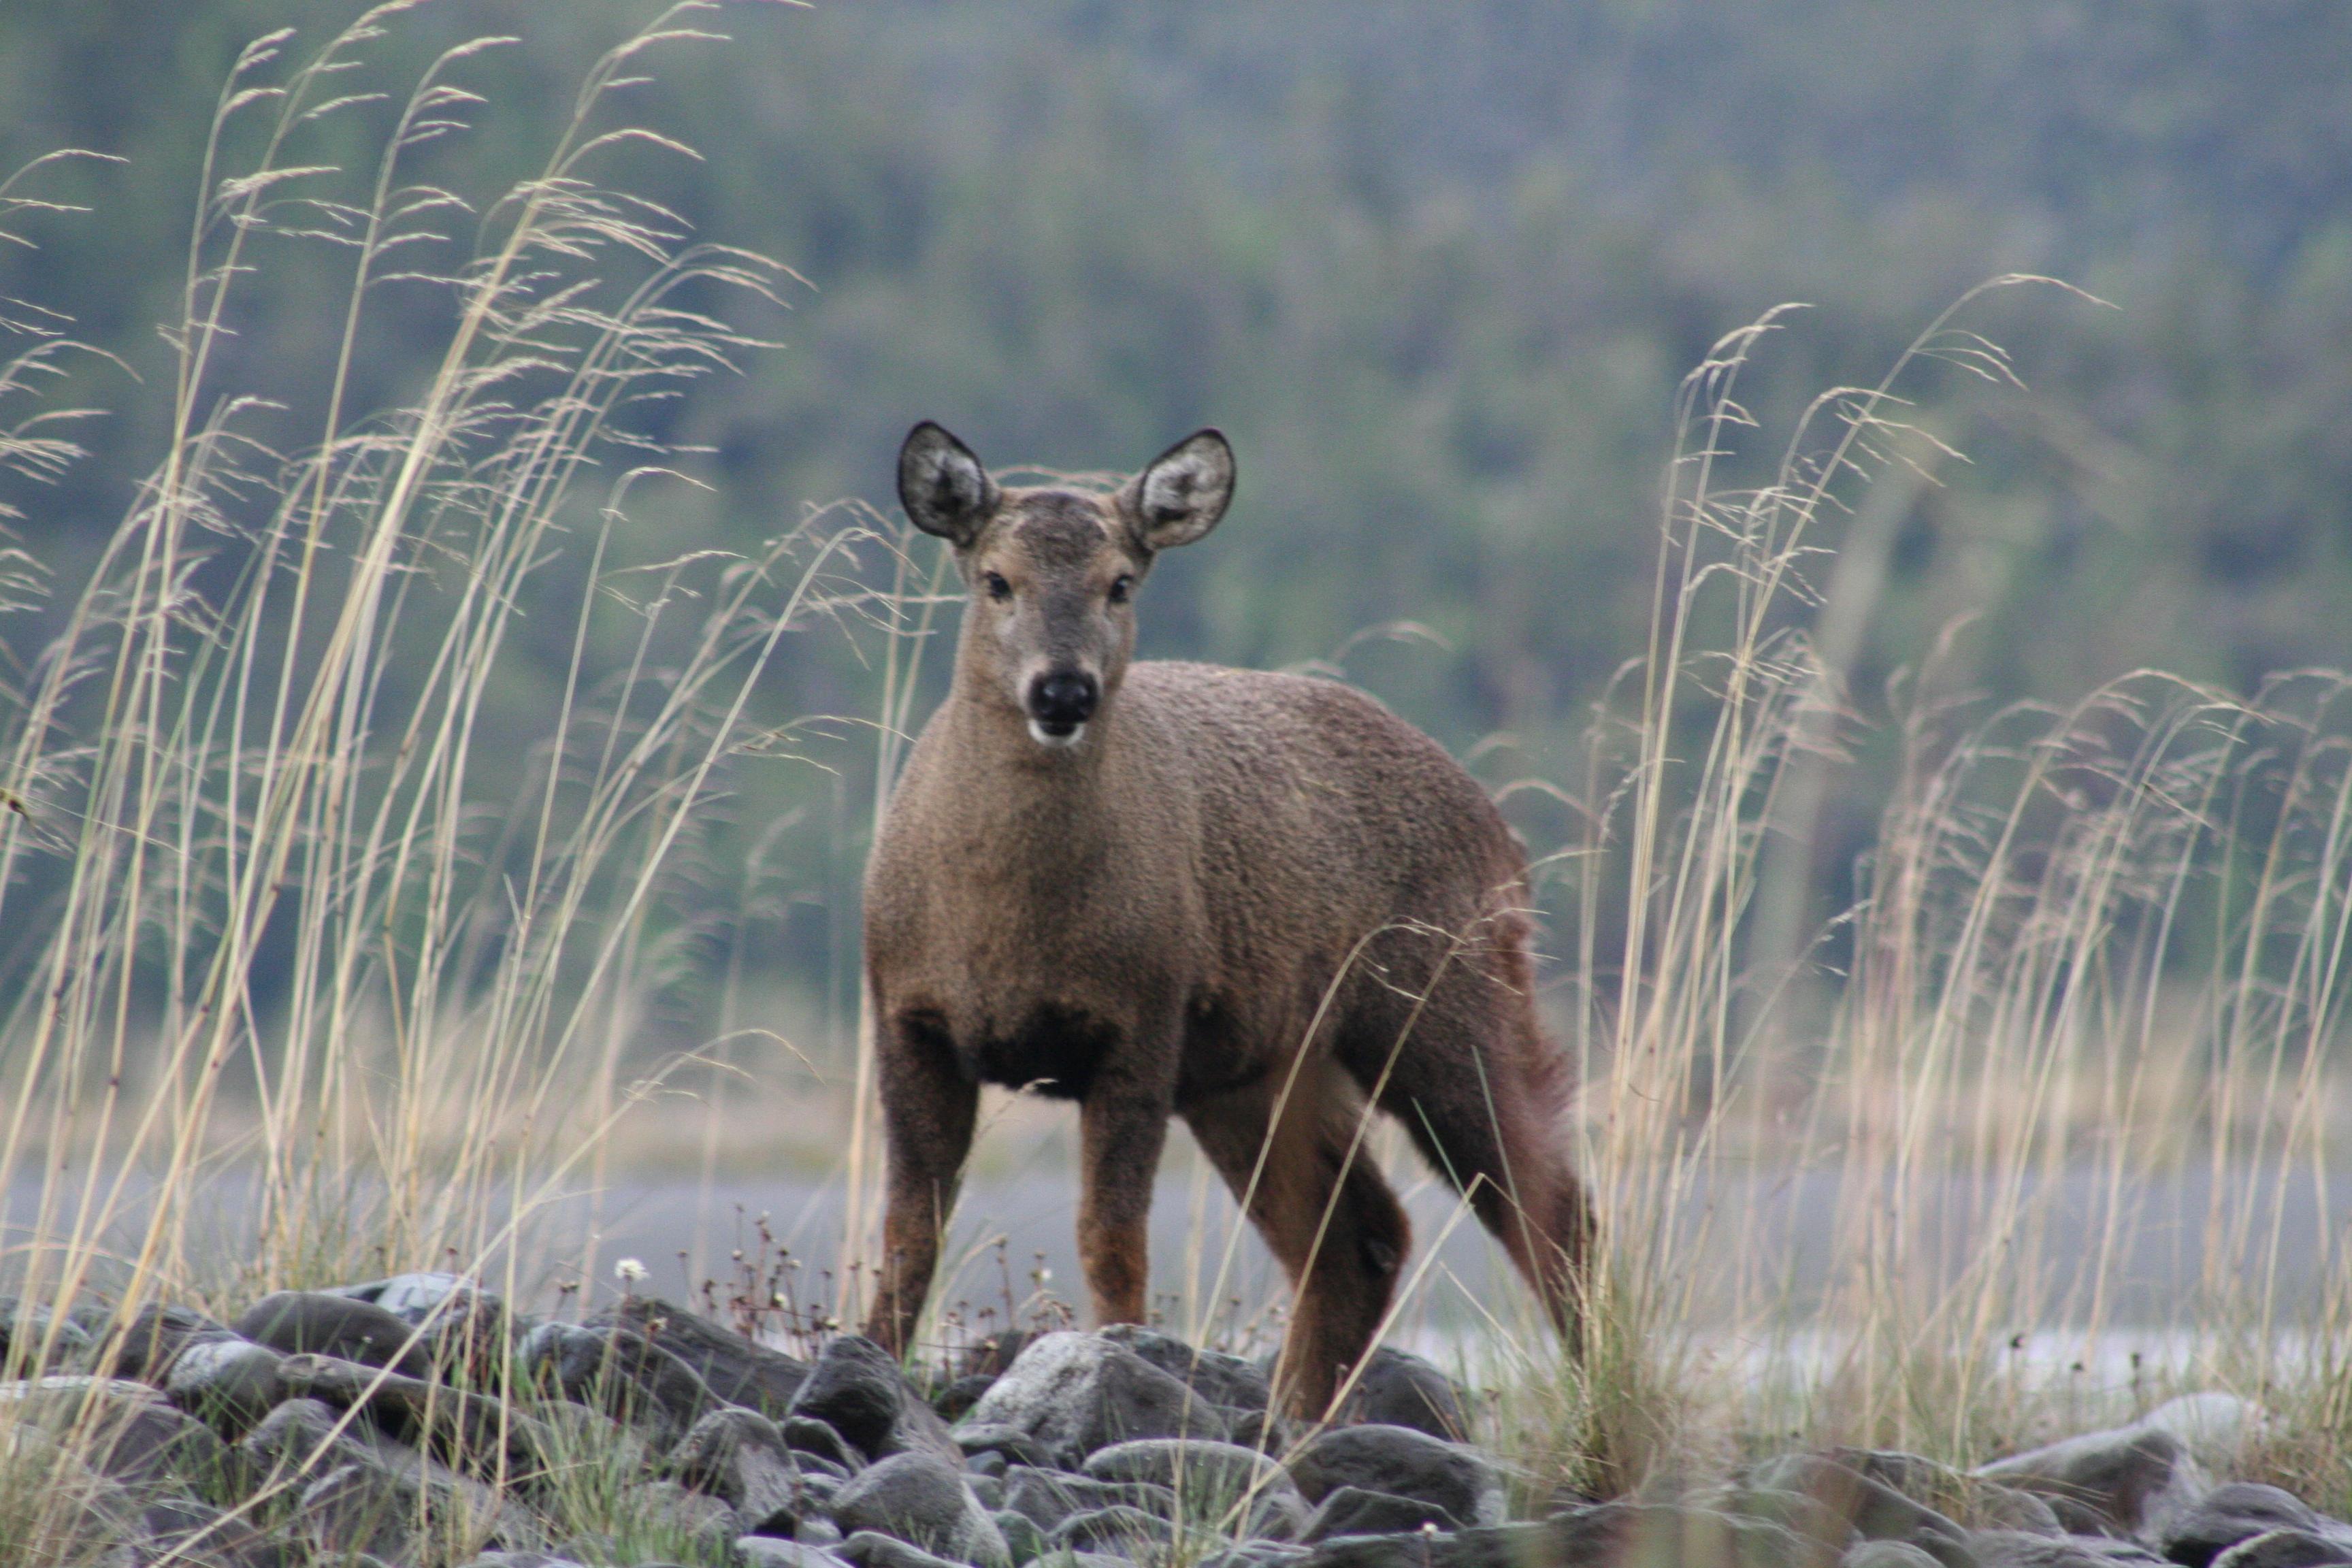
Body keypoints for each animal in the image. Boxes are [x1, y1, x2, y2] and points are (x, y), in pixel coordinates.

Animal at [865, 423, 1599, 1420]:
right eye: (995, 579)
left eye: (1120, 582)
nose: (1063, 693)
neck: (1007, 927)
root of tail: (1503, 833)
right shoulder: (908, 1019)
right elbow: (911, 1232)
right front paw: (869, 1357)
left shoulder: (1141, 1020)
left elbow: (1110, 1237)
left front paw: (1111, 1361)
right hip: (1259, 1069)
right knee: (1361, 1236)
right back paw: (1291, 1422)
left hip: (1449, 997)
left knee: (1549, 1205)